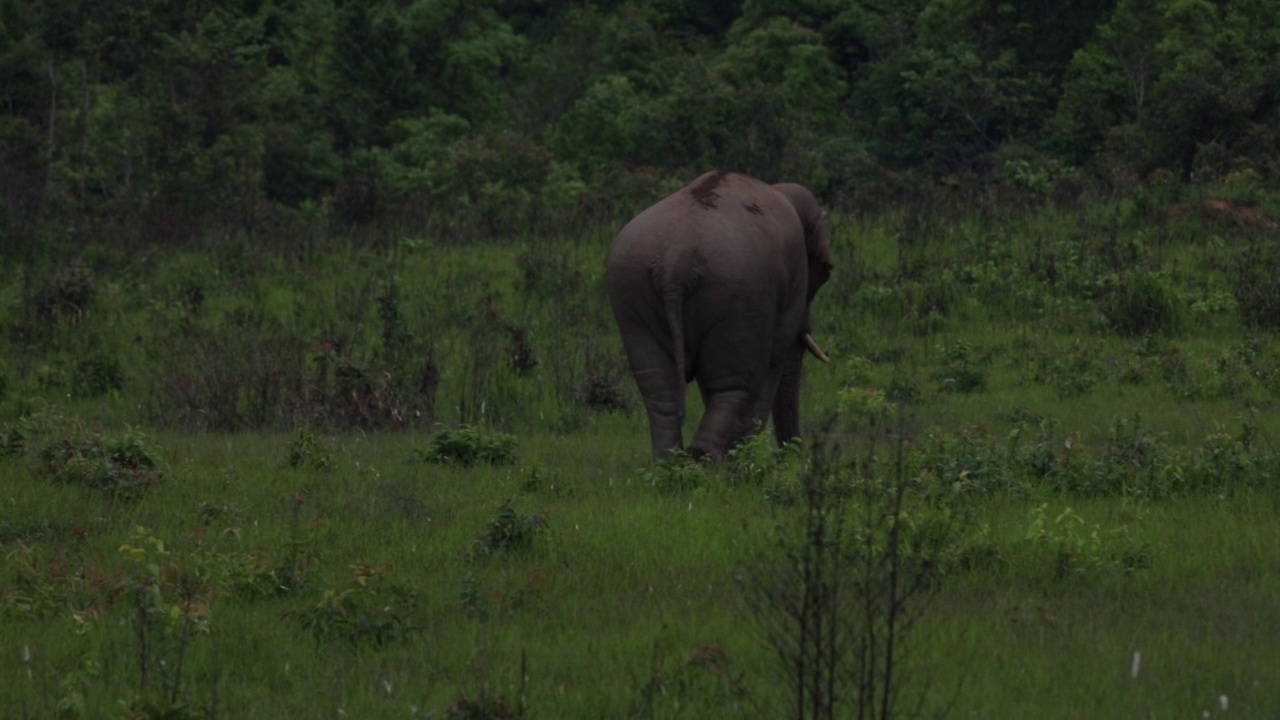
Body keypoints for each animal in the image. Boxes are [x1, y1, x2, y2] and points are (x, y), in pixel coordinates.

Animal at [606, 170, 834, 456]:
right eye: (826, 270)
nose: (790, 457)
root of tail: (675, 261)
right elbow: (774, 363)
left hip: (631, 290)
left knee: (661, 391)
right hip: (738, 298)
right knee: (733, 388)